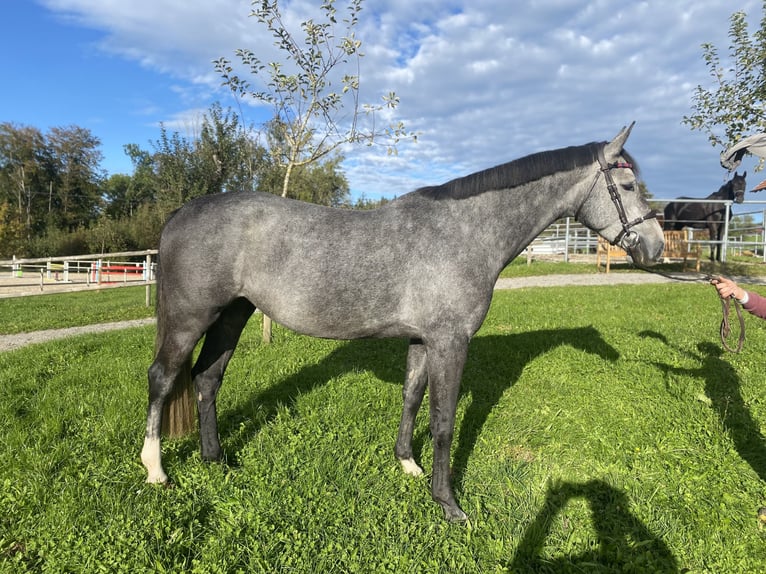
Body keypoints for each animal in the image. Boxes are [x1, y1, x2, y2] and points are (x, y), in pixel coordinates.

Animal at [142, 124, 664, 524]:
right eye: (629, 186)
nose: (655, 247)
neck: (466, 232)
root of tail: (181, 213)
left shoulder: (421, 339)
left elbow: (412, 398)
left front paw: (408, 466)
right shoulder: (451, 342)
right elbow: (444, 422)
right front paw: (448, 504)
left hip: (233, 314)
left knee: (207, 378)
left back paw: (216, 461)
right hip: (190, 318)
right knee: (163, 379)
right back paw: (156, 470)